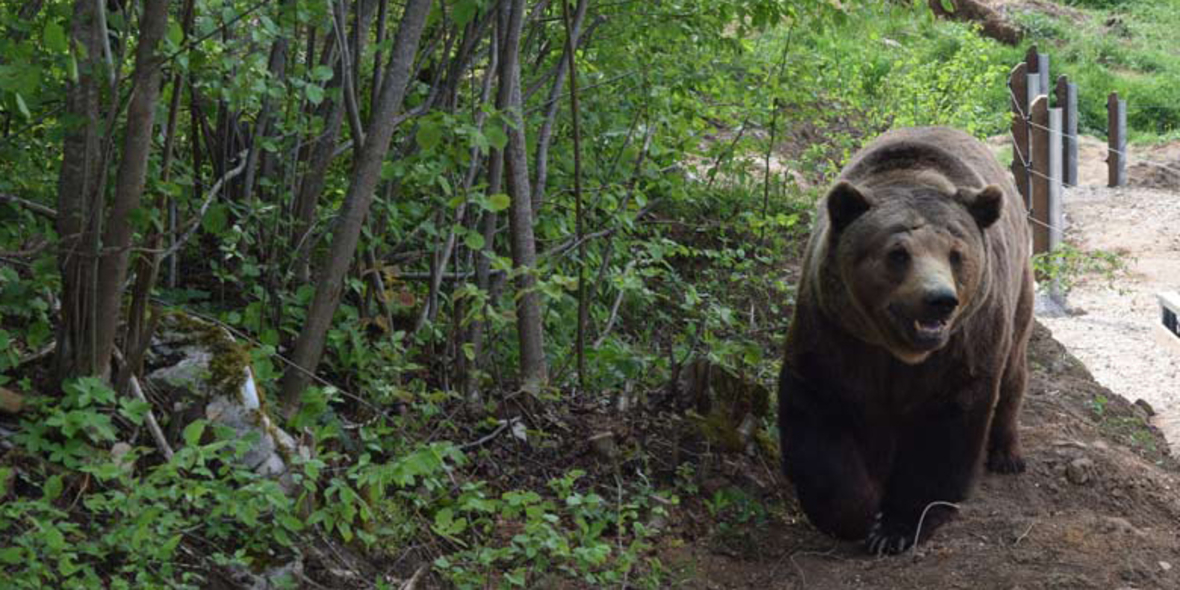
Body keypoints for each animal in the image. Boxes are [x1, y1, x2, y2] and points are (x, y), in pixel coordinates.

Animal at [778, 126, 1034, 555]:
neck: (899, 352)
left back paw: (1007, 453)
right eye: (897, 253)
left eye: (956, 253)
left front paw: (897, 527)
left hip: (1017, 296)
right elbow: (819, 421)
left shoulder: (960, 350)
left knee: (1014, 369)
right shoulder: (835, 335)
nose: (939, 300)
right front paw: (858, 513)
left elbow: (944, 435)